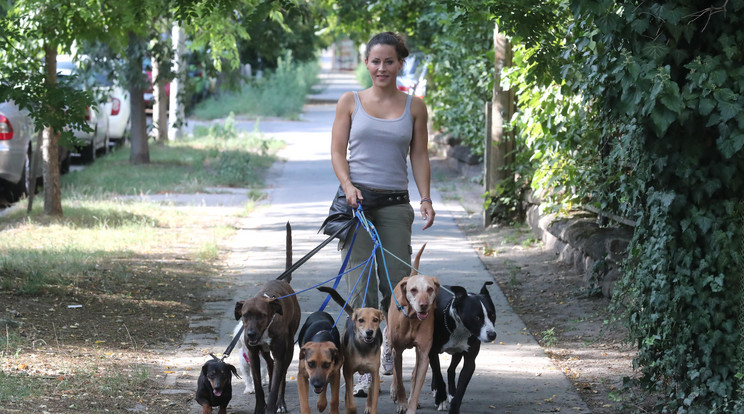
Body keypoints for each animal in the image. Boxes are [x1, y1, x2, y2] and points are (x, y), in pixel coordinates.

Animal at [235, 278, 300, 414]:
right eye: (245, 315)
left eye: (262, 315)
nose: (250, 334)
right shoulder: (253, 355)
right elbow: (258, 386)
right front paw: (260, 408)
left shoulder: (280, 356)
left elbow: (276, 384)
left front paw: (271, 407)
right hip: (264, 351)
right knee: (270, 362)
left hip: (289, 349)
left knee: (282, 375)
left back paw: (280, 403)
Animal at [316, 284, 384, 414]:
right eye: (361, 320)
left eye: (375, 320)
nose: (369, 332)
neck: (364, 348)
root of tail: (353, 312)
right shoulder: (347, 372)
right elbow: (349, 399)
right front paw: (350, 408)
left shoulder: (374, 374)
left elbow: (373, 398)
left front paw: (371, 407)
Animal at [386, 244, 438, 412]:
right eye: (413, 290)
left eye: (430, 289)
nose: (424, 305)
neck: (412, 320)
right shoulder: (397, 351)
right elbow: (400, 380)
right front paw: (402, 402)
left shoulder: (424, 354)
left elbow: (416, 385)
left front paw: (411, 406)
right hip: (390, 342)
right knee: (395, 374)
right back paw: (393, 391)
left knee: (414, 373)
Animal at [428, 280, 496, 412]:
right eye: (477, 317)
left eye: (492, 315)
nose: (492, 334)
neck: (460, 329)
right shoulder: (431, 352)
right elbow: (438, 375)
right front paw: (441, 399)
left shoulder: (470, 361)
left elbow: (461, 388)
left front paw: (454, 405)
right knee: (435, 369)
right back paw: (436, 390)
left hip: (457, 353)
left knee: (450, 370)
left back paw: (451, 393)